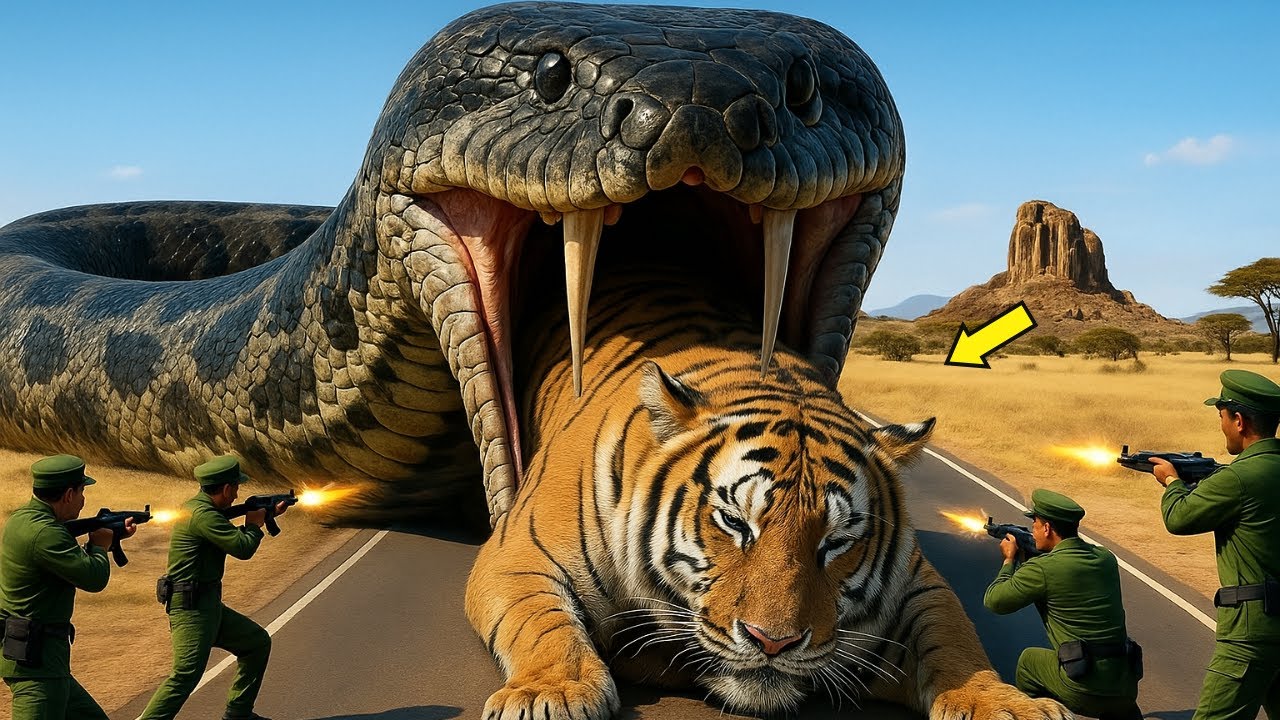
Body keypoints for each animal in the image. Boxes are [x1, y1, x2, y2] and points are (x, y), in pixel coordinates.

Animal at [465, 261, 1071, 720]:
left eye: (835, 543)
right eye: (735, 523)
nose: (773, 643)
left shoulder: (918, 586)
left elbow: (955, 638)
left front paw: (1007, 704)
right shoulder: (518, 552)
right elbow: (542, 620)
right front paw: (553, 693)